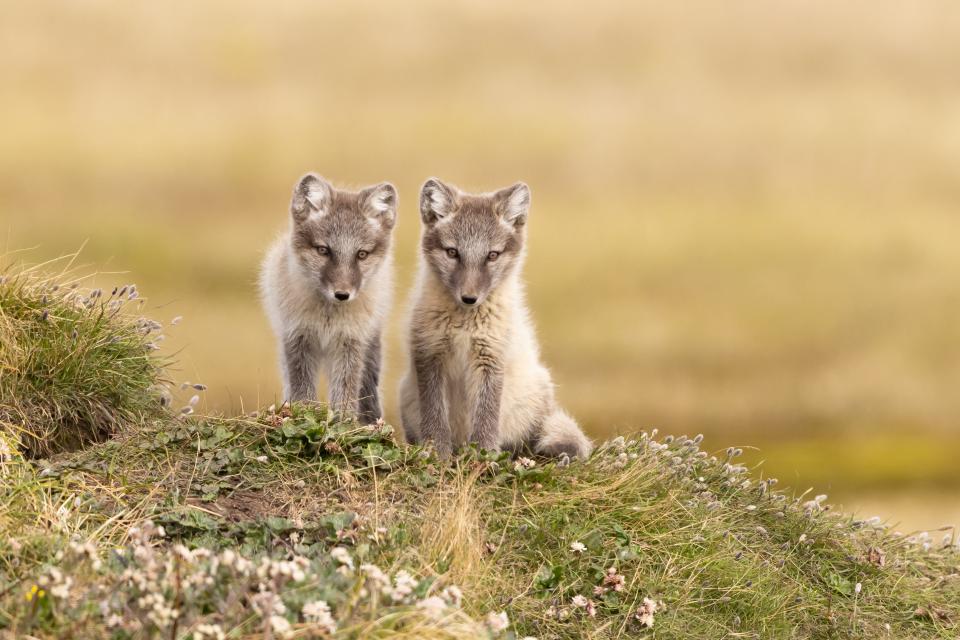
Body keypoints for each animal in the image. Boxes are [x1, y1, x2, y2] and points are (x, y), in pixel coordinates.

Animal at [260, 174, 396, 424]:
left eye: (361, 254)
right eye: (323, 250)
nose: (342, 294)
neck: (328, 318)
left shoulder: (351, 342)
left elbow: (345, 390)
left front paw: (344, 424)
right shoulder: (297, 337)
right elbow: (302, 390)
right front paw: (303, 416)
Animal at [398, 179, 592, 460]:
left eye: (492, 255)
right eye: (452, 252)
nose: (469, 298)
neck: (464, 326)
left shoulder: (491, 356)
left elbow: (486, 417)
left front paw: (483, 457)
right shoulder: (430, 354)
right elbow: (435, 417)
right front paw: (438, 454)